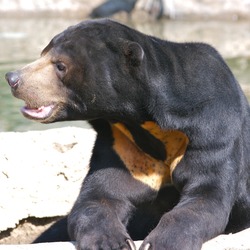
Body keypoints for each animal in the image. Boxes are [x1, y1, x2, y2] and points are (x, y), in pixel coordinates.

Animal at [4, 19, 250, 250]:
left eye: (60, 65)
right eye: (42, 54)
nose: (13, 78)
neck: (142, 120)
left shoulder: (212, 130)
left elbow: (205, 195)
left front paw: (160, 243)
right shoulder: (122, 145)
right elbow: (101, 196)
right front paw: (111, 242)